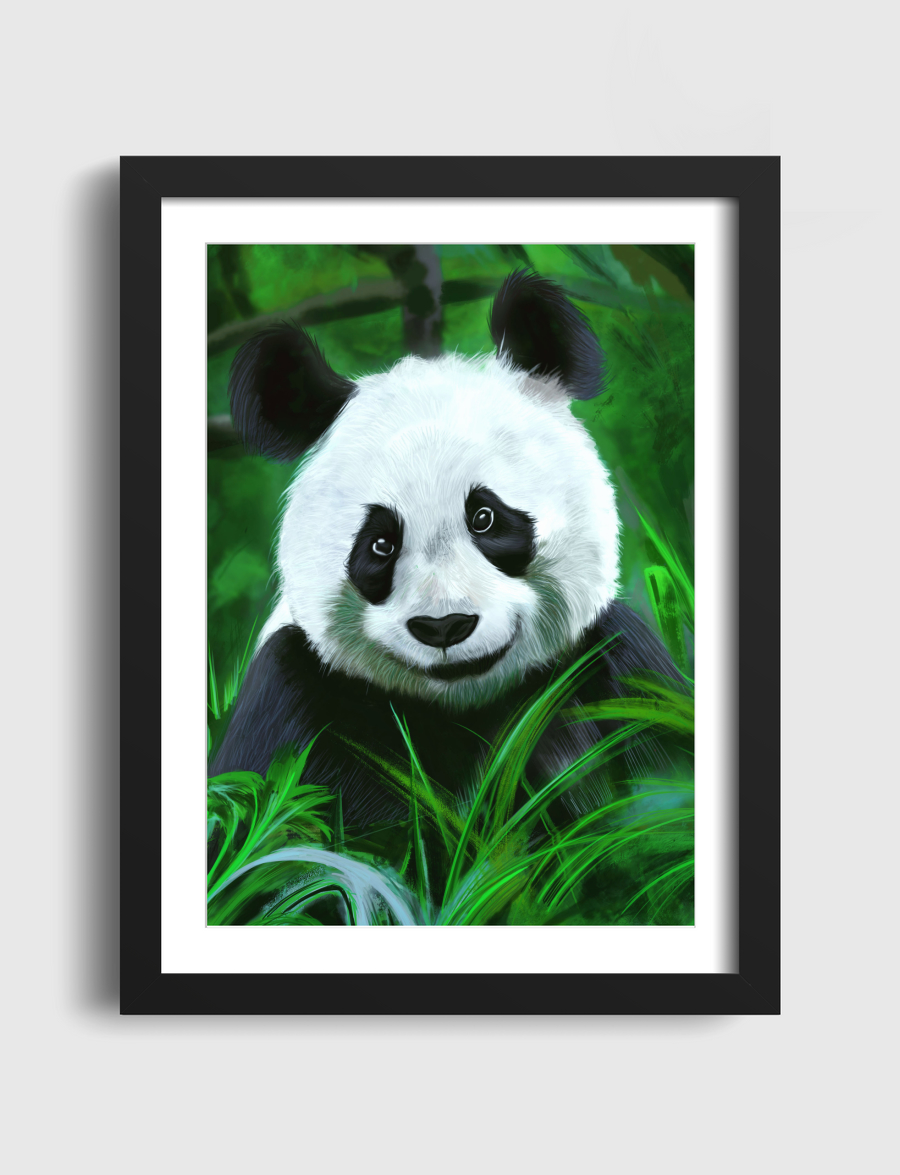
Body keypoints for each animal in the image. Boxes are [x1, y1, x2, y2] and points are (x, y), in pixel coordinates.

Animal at [210, 270, 681, 827]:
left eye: (484, 517)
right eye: (381, 544)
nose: (444, 627)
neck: (463, 707)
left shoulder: (613, 669)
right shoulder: (292, 695)